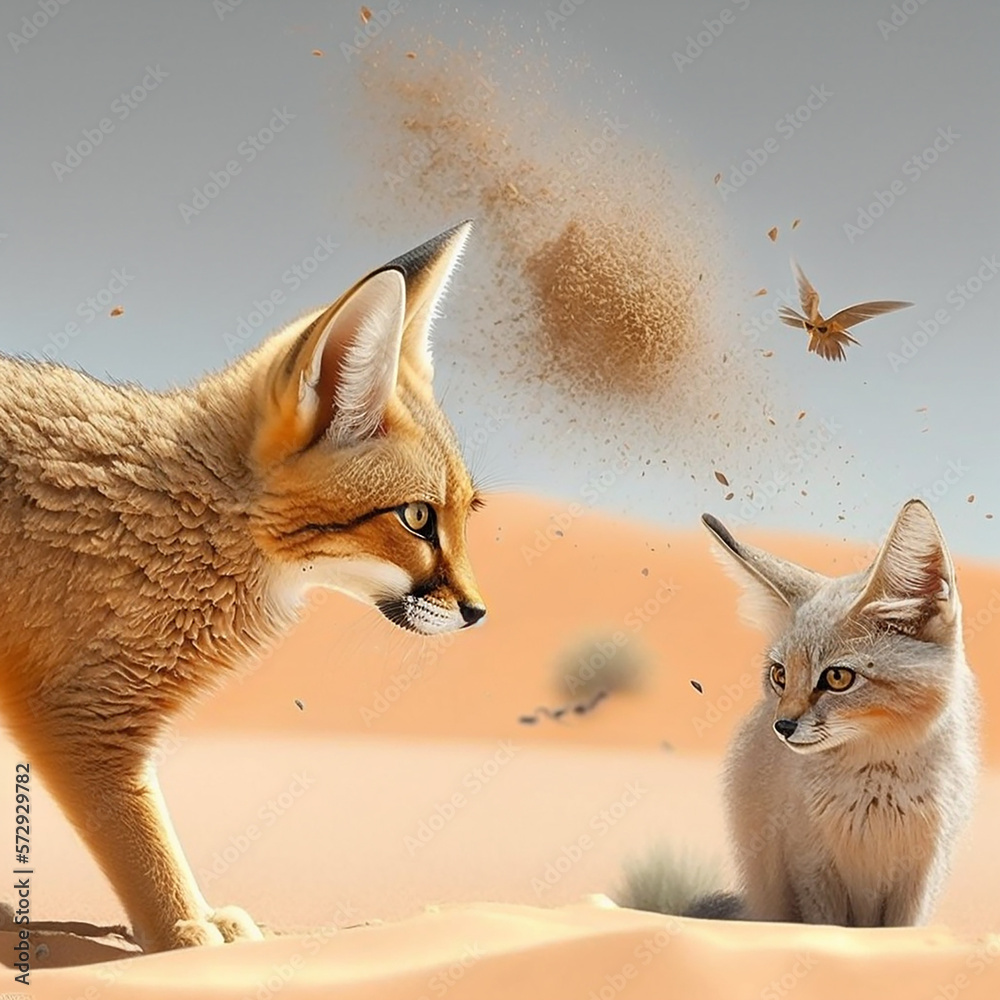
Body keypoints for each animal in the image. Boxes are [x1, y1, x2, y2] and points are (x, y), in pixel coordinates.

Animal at [0, 222, 486, 952]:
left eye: (465, 514)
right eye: (417, 518)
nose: (479, 611)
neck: (196, 518)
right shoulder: (83, 719)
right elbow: (148, 846)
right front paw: (184, 931)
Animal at [625, 499, 979, 927]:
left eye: (838, 677)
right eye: (780, 675)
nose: (782, 725)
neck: (875, 788)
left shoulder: (920, 874)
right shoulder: (811, 868)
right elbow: (824, 927)